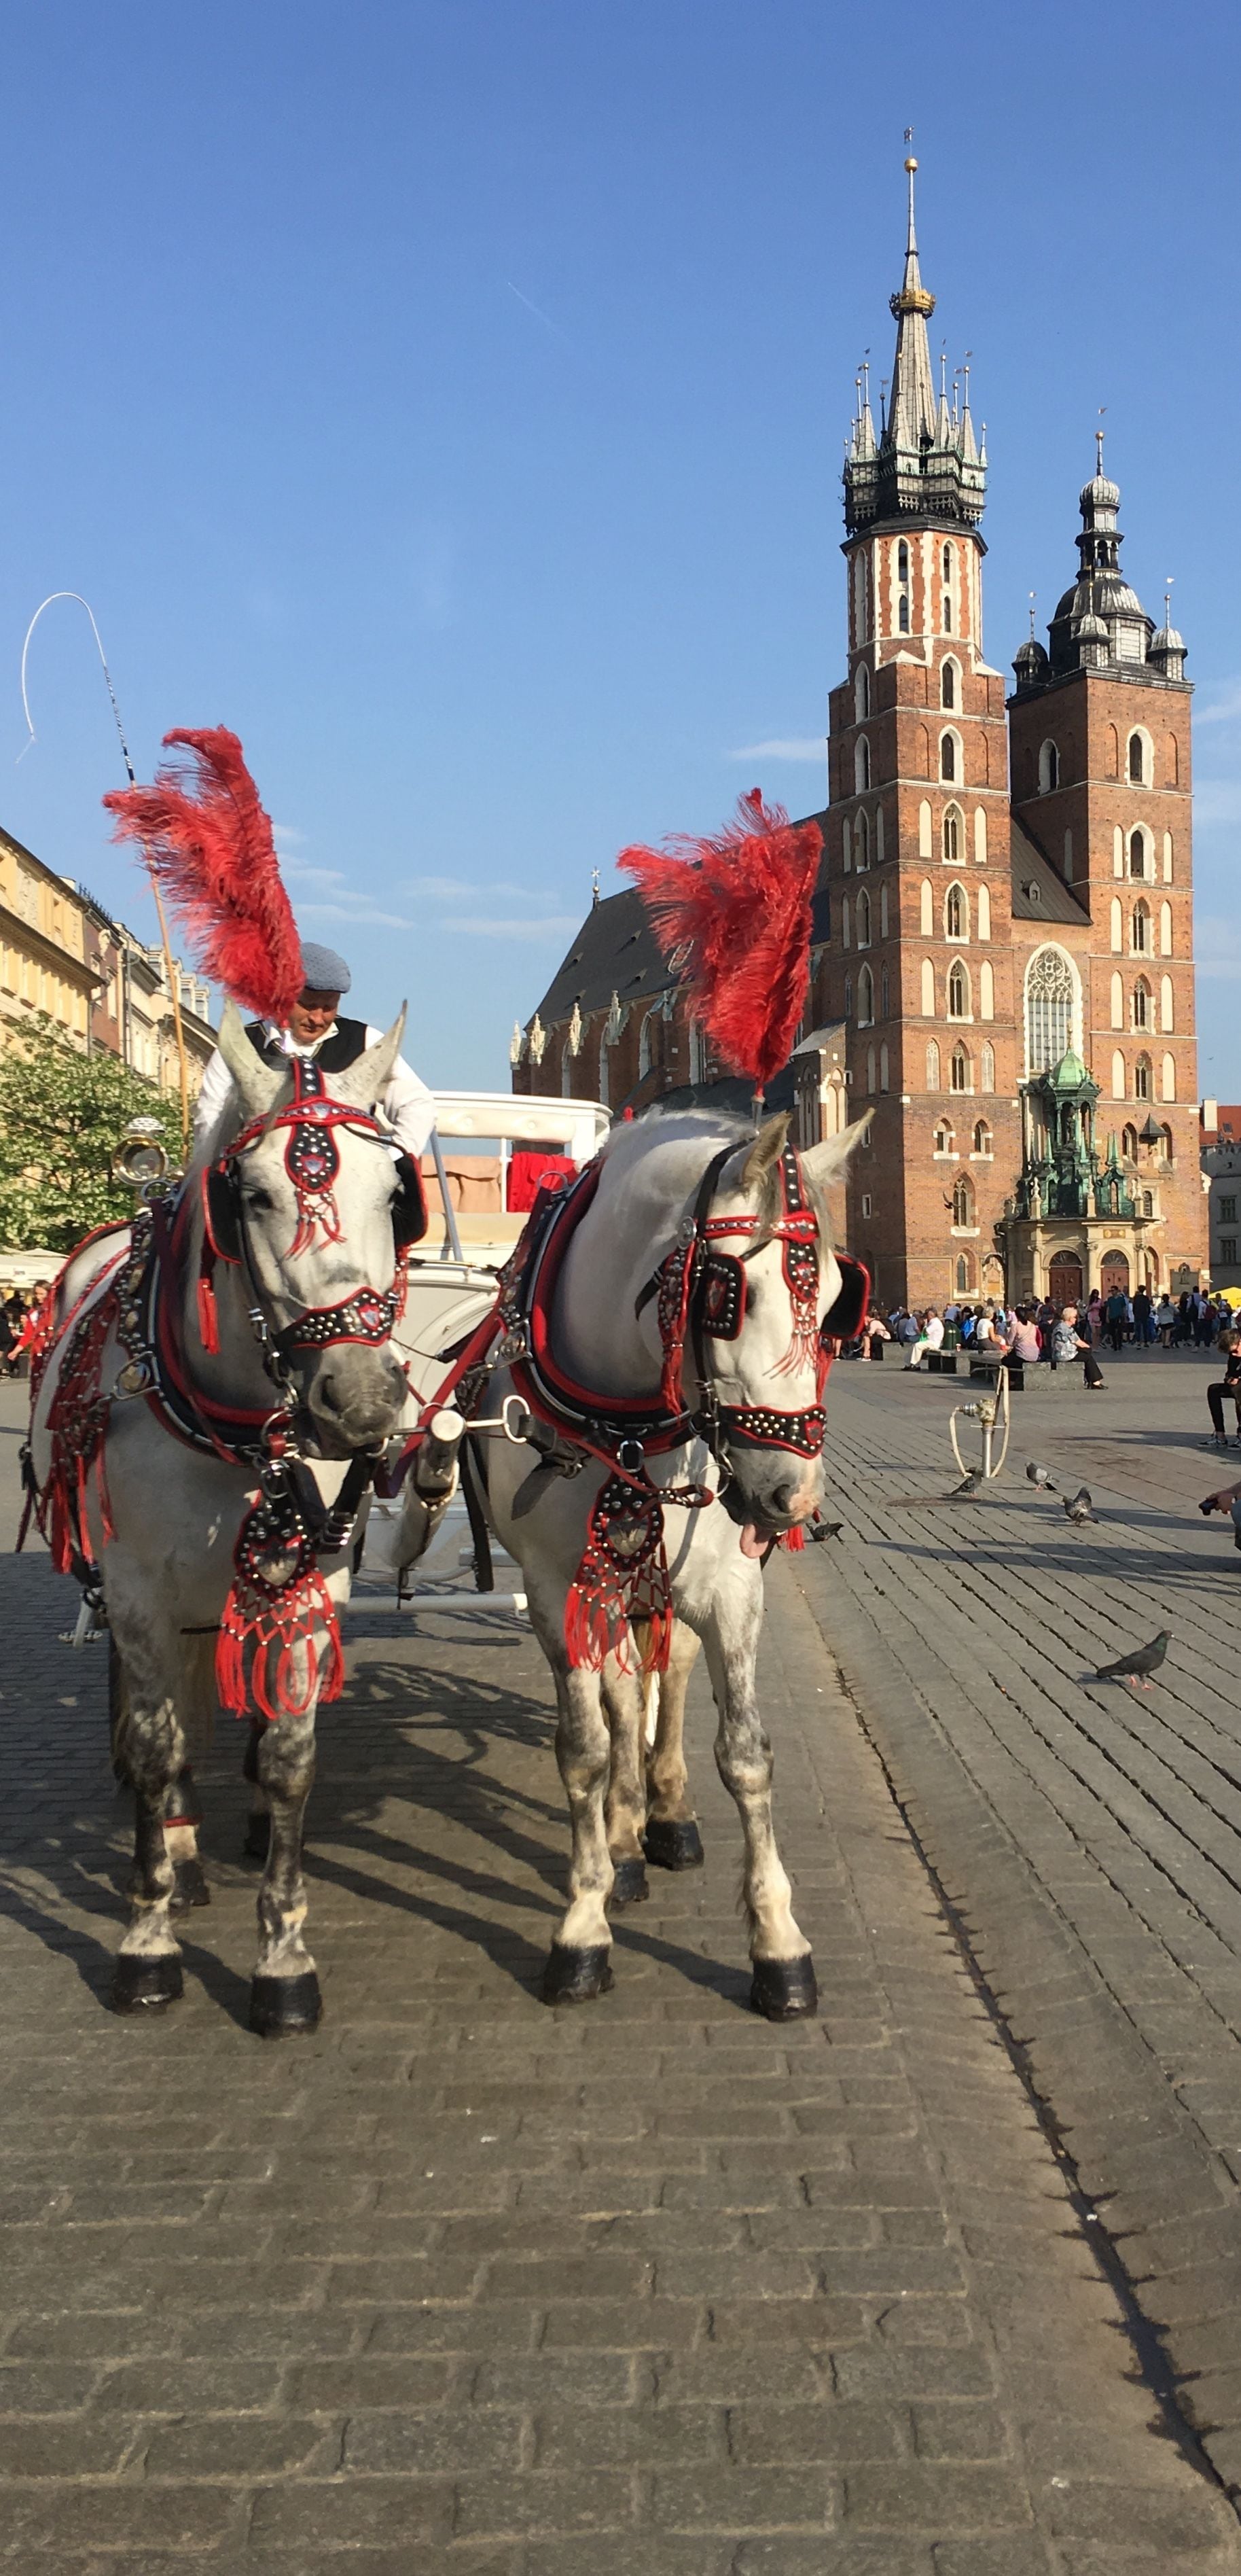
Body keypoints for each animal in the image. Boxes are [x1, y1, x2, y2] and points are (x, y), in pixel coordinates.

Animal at [27, 1004, 413, 2034]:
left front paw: (283, 1958)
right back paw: (175, 1847)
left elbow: (287, 1757)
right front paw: (148, 1939)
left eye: (393, 1193)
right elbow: (155, 1746)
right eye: (254, 1193)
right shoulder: (138, 1595)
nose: (361, 1398)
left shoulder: (302, 1586)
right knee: (151, 1733)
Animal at [400, 1104, 865, 2018]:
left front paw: (778, 1942)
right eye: (728, 1295)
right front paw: (583, 1923)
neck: (627, 1415)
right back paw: (619, 1841)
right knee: (619, 1696)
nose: (791, 1496)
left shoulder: (731, 1587)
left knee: (665, 1675)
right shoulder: (558, 1590)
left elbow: (745, 1752)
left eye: (835, 1299)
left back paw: (666, 1814)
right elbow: (584, 1746)